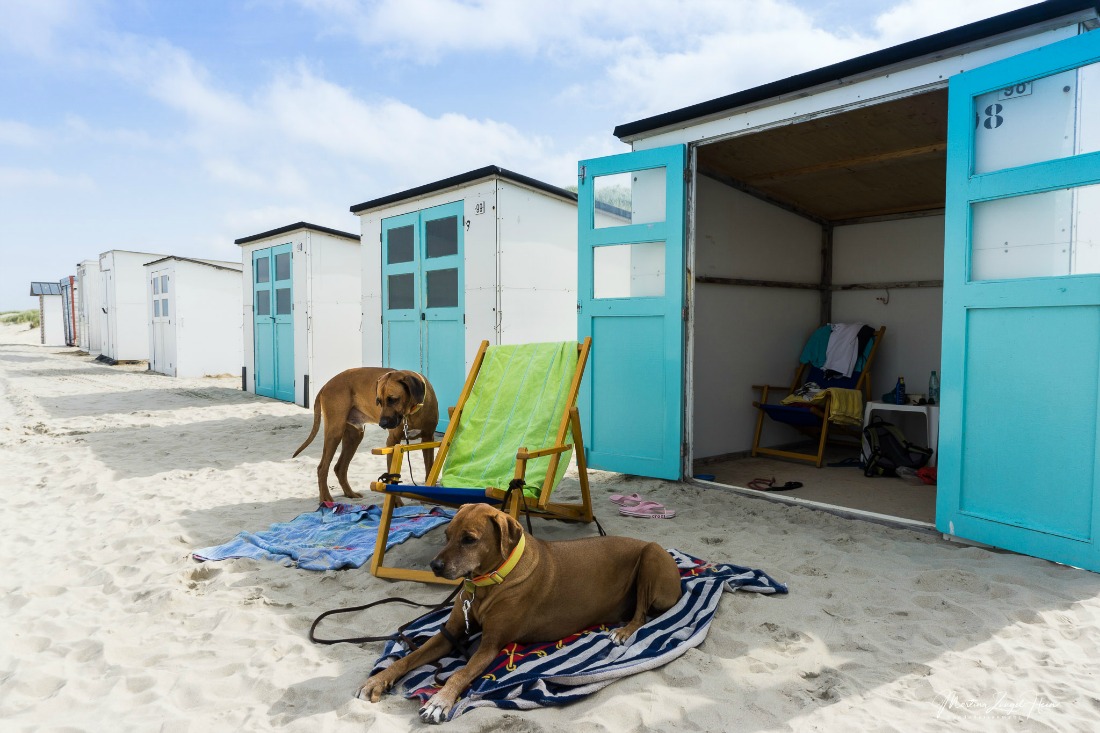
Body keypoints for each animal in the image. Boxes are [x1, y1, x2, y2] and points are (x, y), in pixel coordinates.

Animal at [292, 365, 437, 501]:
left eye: (393, 399)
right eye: (378, 401)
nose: (382, 424)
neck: (412, 412)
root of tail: (325, 385)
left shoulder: (428, 439)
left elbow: (429, 469)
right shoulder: (392, 441)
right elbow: (392, 478)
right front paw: (397, 503)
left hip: (354, 436)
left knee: (339, 467)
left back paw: (350, 494)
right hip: (335, 433)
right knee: (322, 468)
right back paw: (326, 499)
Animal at [356, 501, 682, 717]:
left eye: (469, 539)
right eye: (446, 534)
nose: (434, 566)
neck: (487, 583)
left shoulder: (490, 644)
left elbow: (461, 672)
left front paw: (440, 700)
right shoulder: (451, 632)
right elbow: (408, 658)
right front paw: (377, 680)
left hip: (652, 554)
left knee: (642, 613)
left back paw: (623, 631)